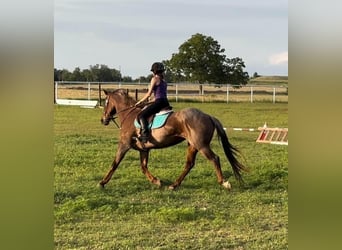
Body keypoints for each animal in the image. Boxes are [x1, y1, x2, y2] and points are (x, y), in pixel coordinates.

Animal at [100, 89, 247, 189]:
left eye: (106, 102)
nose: (103, 120)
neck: (129, 116)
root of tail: (208, 116)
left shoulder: (124, 145)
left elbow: (115, 163)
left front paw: (102, 182)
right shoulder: (144, 149)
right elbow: (143, 167)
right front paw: (156, 181)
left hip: (201, 145)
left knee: (214, 159)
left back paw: (224, 182)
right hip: (192, 145)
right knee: (189, 164)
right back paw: (174, 185)